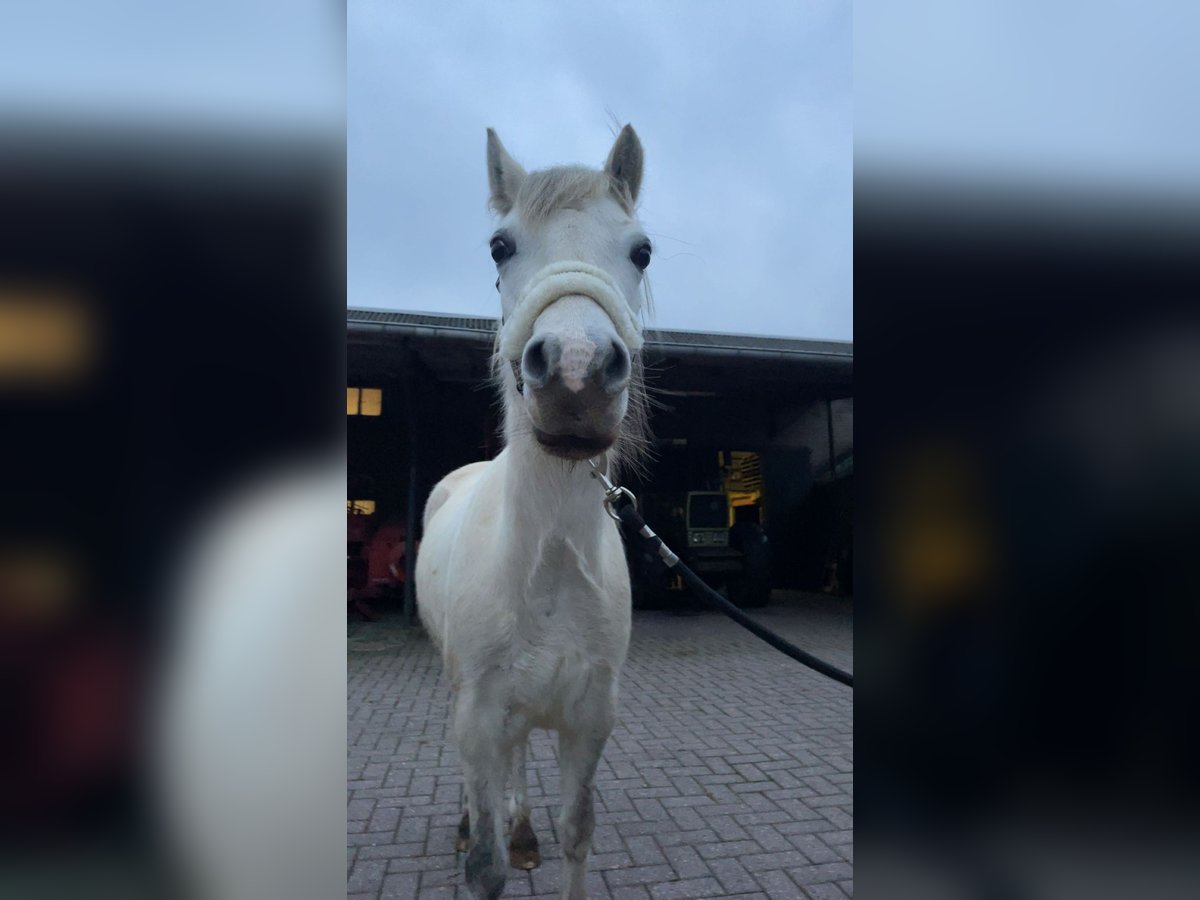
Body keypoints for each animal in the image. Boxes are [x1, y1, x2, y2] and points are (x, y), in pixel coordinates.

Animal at [417, 128, 652, 900]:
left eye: (642, 251)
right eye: (500, 246)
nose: (576, 372)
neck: (547, 563)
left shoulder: (589, 722)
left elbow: (577, 831)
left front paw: (536, 838)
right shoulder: (479, 715)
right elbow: (484, 868)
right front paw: (487, 841)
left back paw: (523, 833)